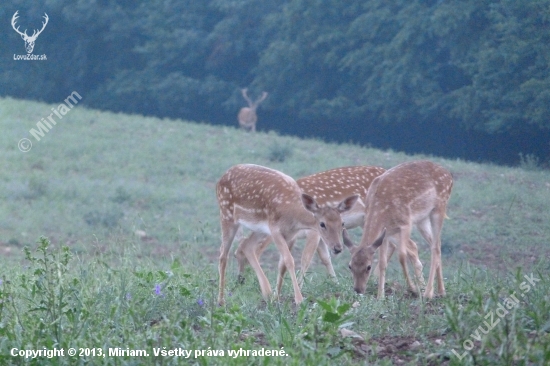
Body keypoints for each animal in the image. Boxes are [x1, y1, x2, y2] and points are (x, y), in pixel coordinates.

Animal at [216, 164, 358, 304]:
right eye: (322, 224)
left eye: (342, 223)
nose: (337, 248)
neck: (292, 215)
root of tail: (220, 180)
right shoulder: (275, 230)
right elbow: (290, 260)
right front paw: (299, 299)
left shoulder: (290, 234)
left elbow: (282, 265)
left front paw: (276, 297)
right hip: (227, 214)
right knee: (223, 254)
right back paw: (221, 299)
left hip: (259, 229)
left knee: (247, 246)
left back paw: (266, 292)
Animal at [236, 166, 426, 294]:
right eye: (236, 255)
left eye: (243, 257)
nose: (241, 281)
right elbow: (324, 257)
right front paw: (335, 283)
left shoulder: (312, 232)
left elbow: (305, 259)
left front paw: (298, 287)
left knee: (411, 245)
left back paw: (421, 288)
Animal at [348, 162, 454, 298]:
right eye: (350, 266)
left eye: (368, 267)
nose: (358, 290)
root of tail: (449, 175)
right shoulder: (386, 233)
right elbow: (382, 262)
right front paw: (380, 296)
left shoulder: (406, 223)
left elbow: (402, 256)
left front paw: (413, 289)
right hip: (422, 220)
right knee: (437, 244)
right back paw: (441, 291)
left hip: (439, 208)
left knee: (435, 247)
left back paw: (428, 293)